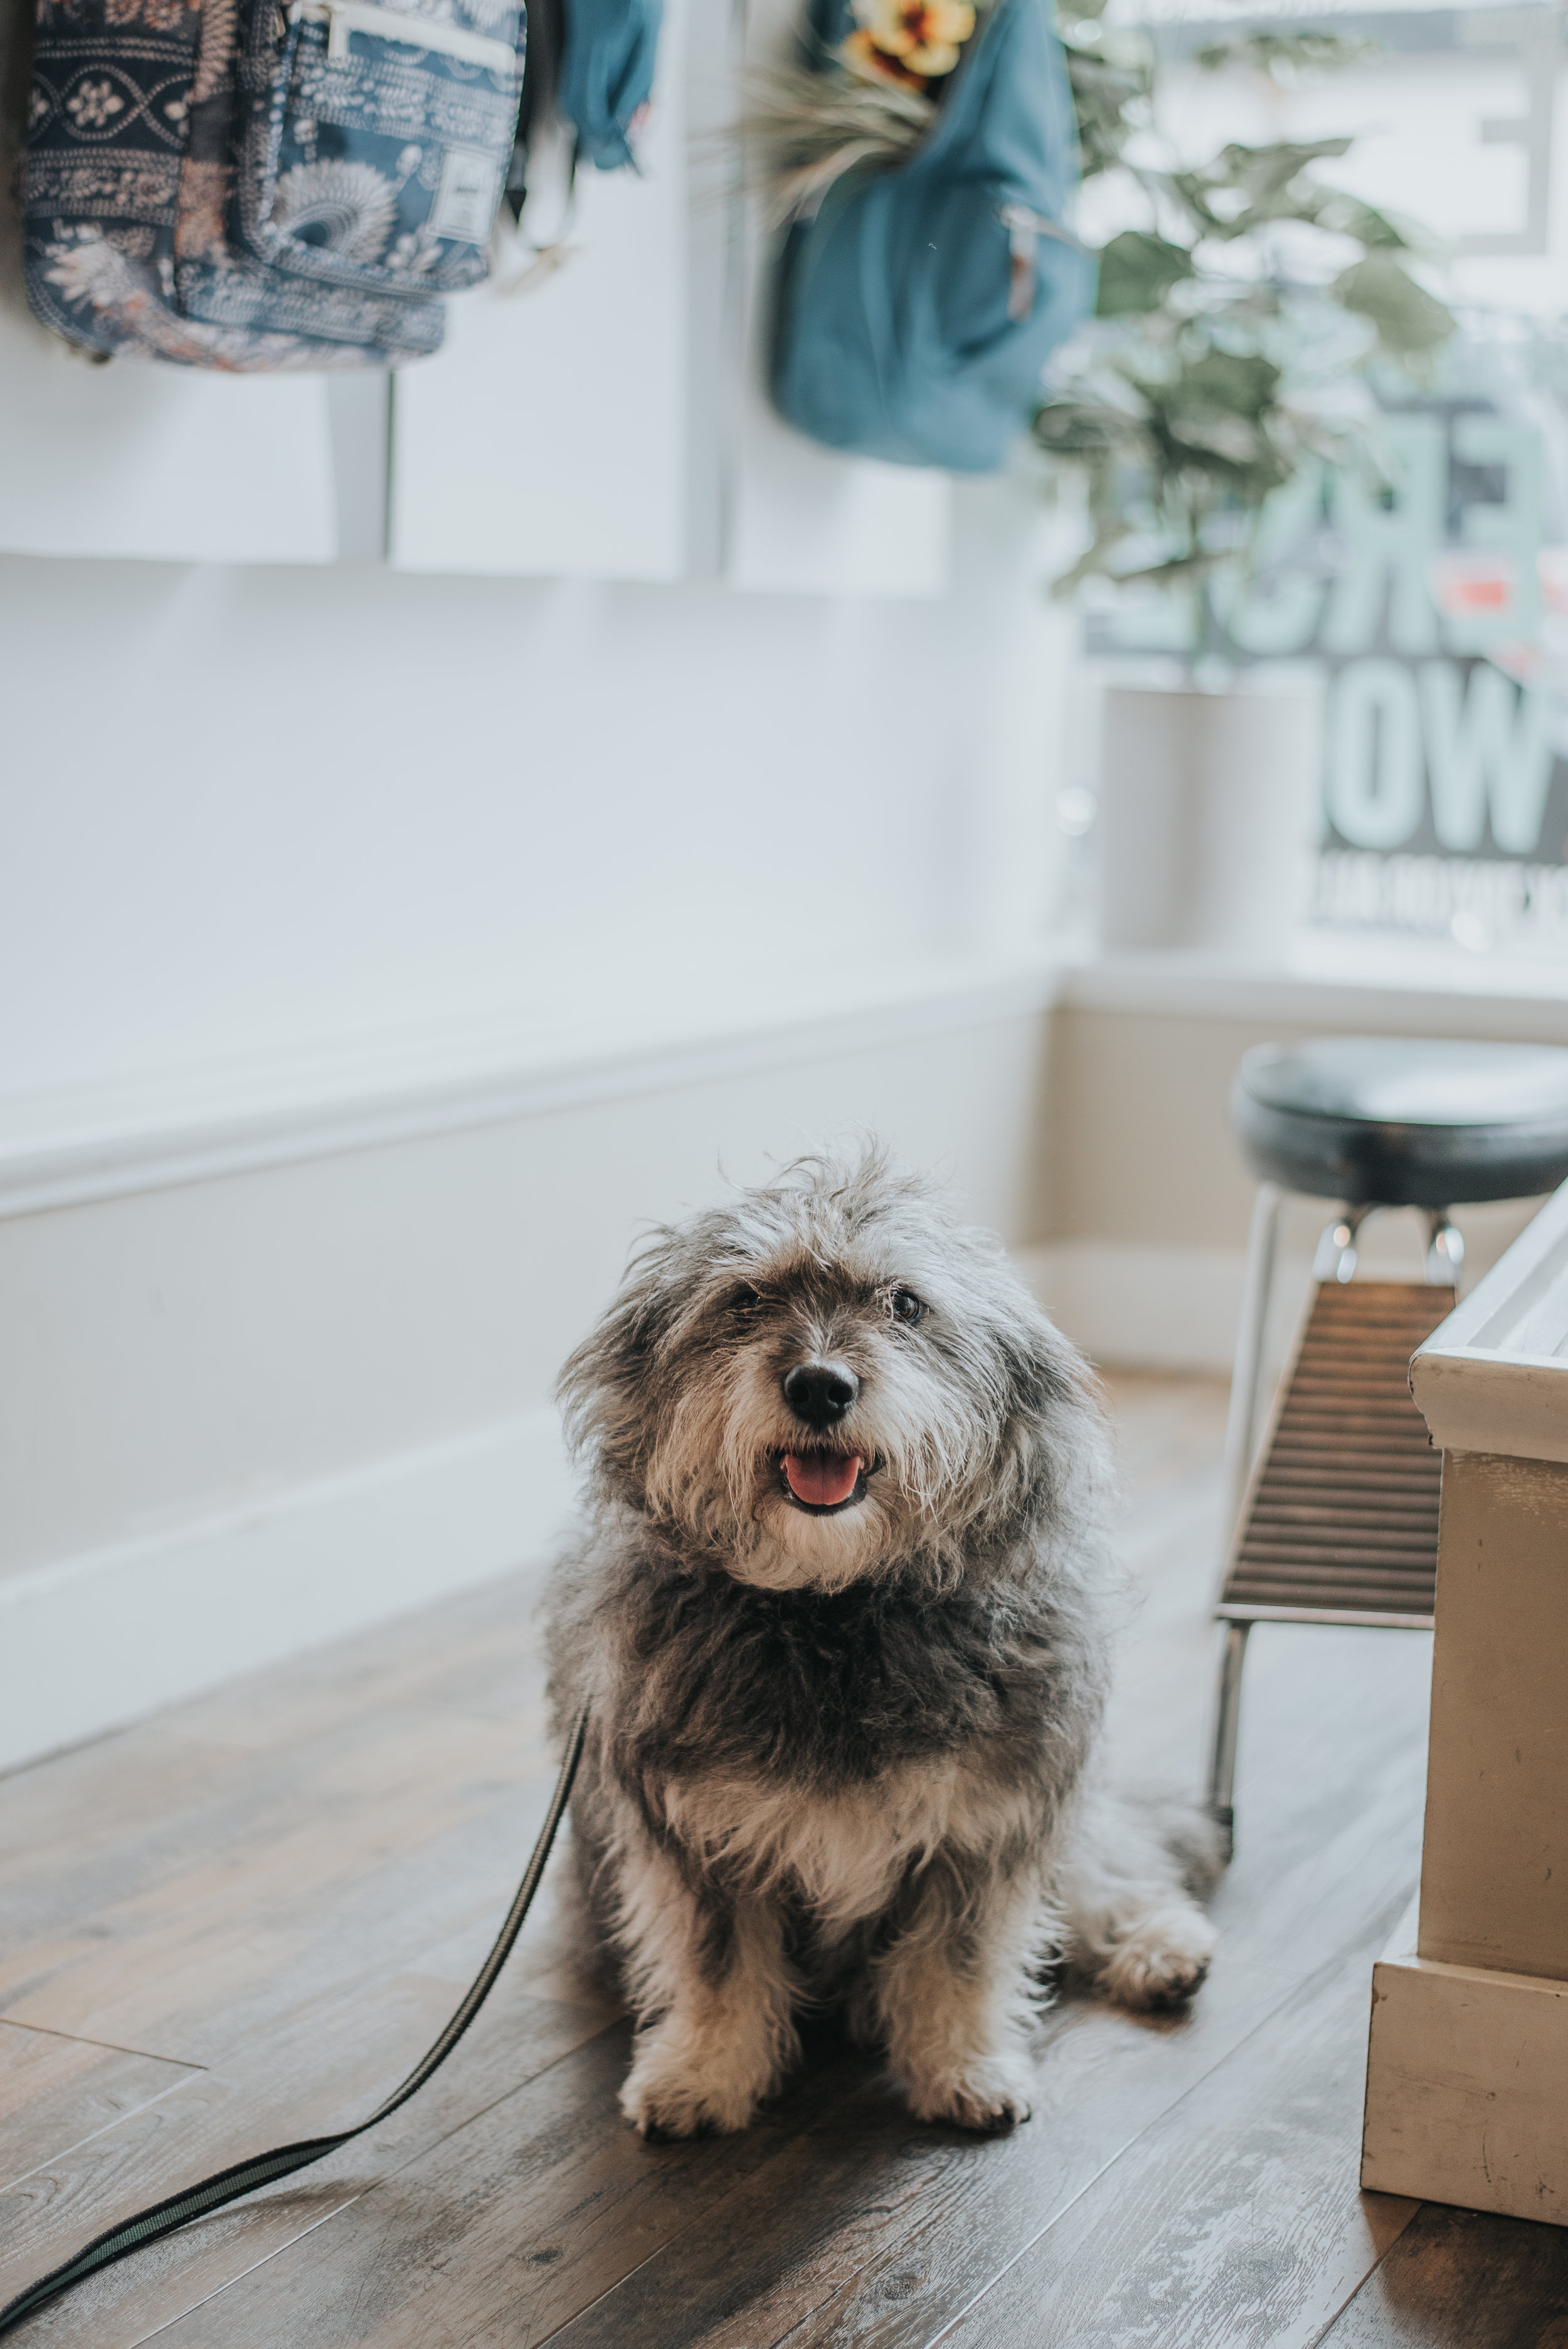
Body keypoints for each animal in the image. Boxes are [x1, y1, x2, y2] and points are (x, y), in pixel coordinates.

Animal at [544, 1146, 1221, 2142]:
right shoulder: (693, 1837)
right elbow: (714, 1966)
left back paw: (1159, 1943)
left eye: (905, 1303)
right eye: (745, 1298)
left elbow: (961, 1960)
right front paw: (702, 2071)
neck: (835, 1613)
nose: (820, 1386)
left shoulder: (987, 1821)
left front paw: (965, 2065)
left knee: (1112, 1862)